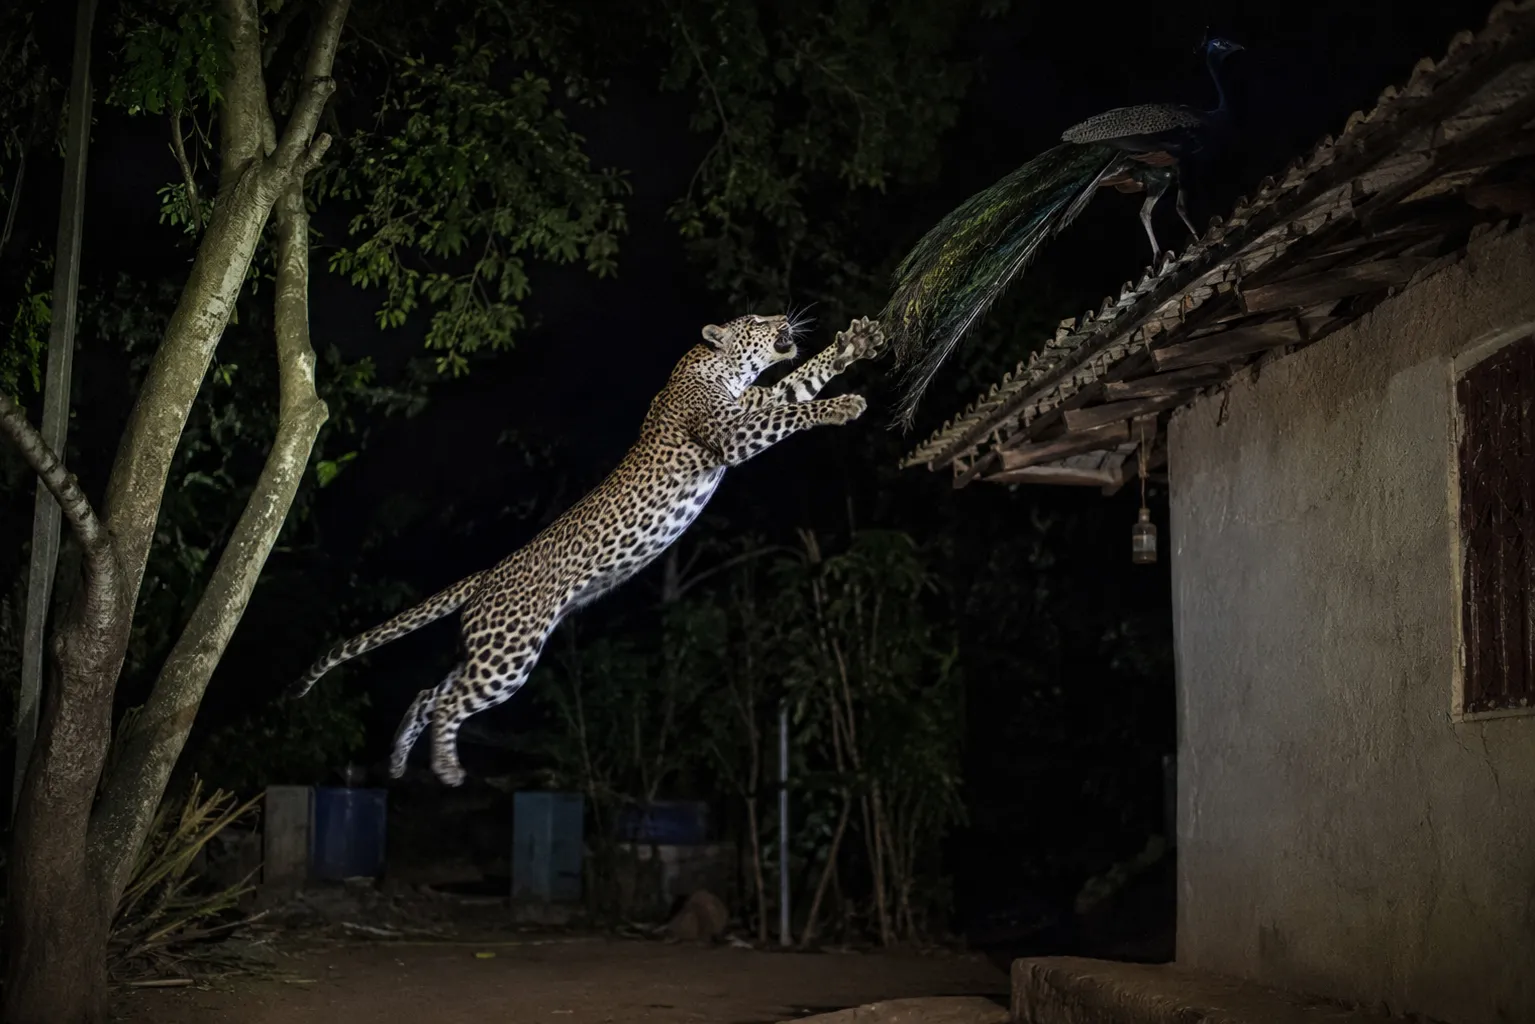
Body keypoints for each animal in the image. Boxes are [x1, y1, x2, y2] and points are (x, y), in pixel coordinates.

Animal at [289, 313, 886, 786]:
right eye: (757, 319)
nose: (783, 316)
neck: (719, 369)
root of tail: (486, 574)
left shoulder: (755, 401)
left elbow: (798, 381)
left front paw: (854, 344)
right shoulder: (733, 432)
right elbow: (793, 411)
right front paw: (844, 405)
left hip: (489, 650)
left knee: (429, 694)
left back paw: (396, 761)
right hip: (510, 655)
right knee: (450, 702)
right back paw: (447, 769)